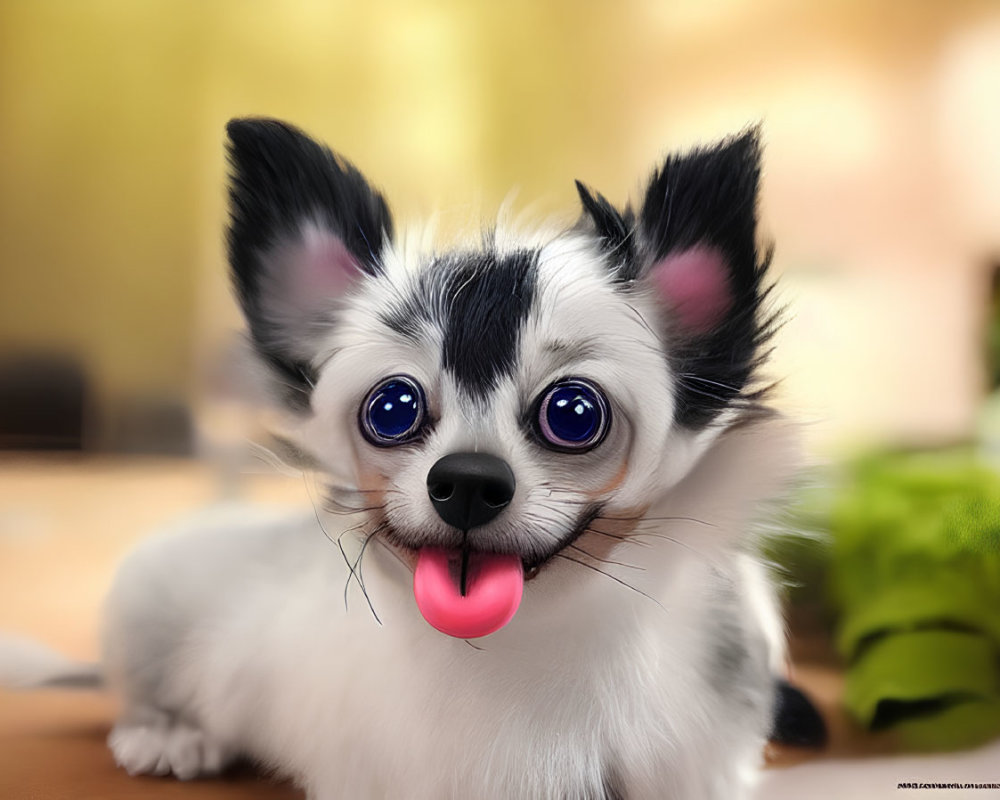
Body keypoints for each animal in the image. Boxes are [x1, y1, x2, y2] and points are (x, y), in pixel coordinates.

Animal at [0, 120, 816, 800]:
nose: (467, 481)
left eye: (574, 414)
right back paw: (168, 734)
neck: (520, 644)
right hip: (145, 604)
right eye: (392, 409)